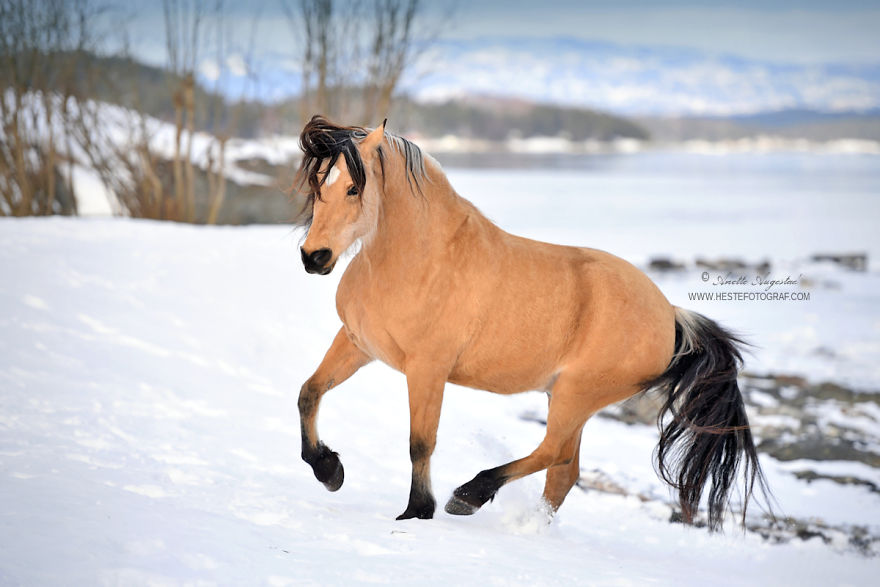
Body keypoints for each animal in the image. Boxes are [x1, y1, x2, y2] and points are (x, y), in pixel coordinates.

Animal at [293, 115, 769, 530]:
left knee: (553, 453)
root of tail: (669, 313)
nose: (314, 257)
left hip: (577, 394)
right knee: (564, 470)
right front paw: (329, 470)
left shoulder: (427, 368)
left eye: (354, 188)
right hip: (567, 396)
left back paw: (468, 495)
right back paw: (527, 526)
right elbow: (308, 394)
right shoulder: (357, 343)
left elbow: (420, 443)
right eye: (318, 185)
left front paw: (417, 511)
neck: (418, 260)